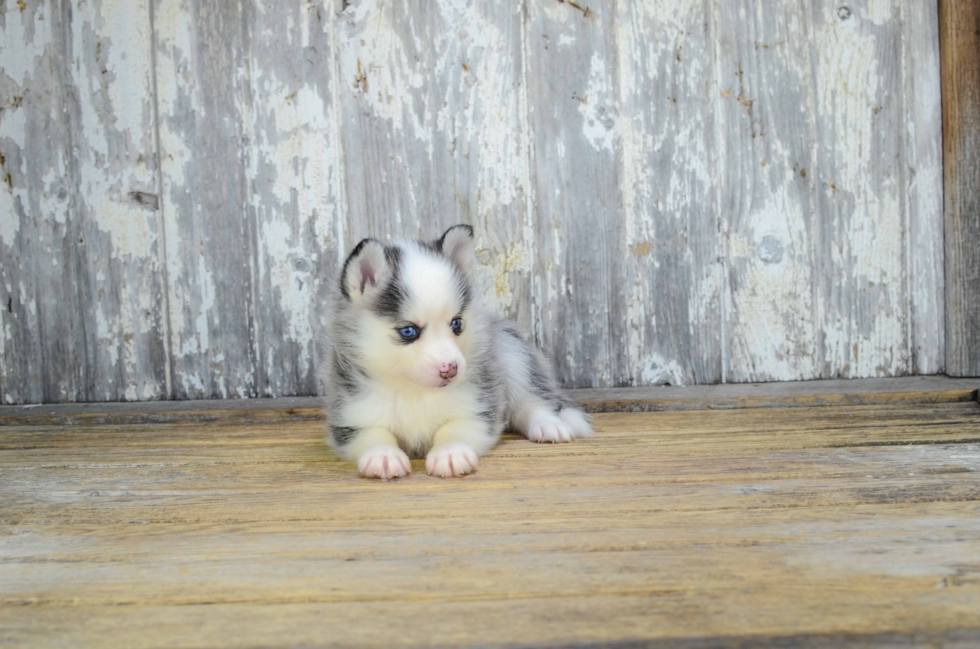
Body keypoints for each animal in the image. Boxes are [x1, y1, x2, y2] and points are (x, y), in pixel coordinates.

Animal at [322, 225, 592, 478]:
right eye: (408, 331)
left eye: (456, 324)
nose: (450, 370)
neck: (414, 392)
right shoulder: (351, 417)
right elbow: (374, 434)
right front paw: (383, 456)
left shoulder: (479, 407)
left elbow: (453, 429)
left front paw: (450, 453)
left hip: (512, 353)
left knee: (532, 401)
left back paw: (548, 425)